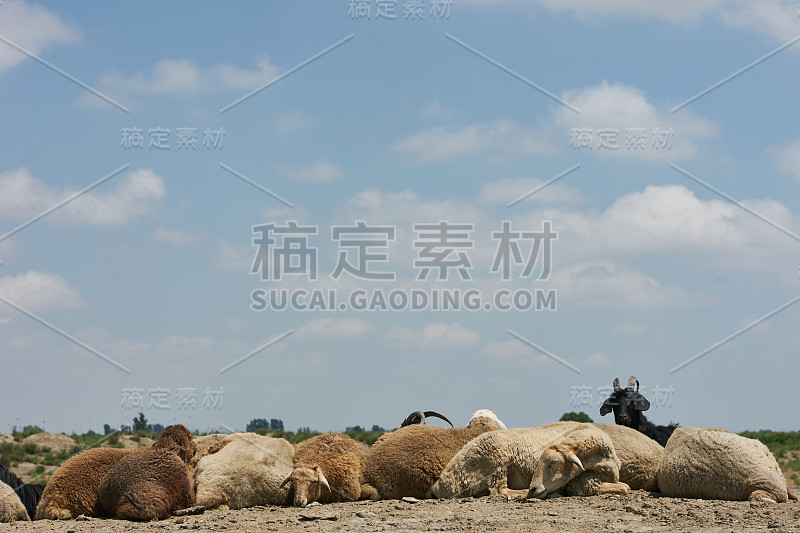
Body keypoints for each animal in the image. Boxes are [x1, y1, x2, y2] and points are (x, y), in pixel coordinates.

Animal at [428, 422, 628, 496]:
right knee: (500, 491)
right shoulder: (581, 482)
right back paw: (523, 492)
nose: (534, 487)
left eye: (552, 464)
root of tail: (440, 484)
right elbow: (625, 488)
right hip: (497, 461)